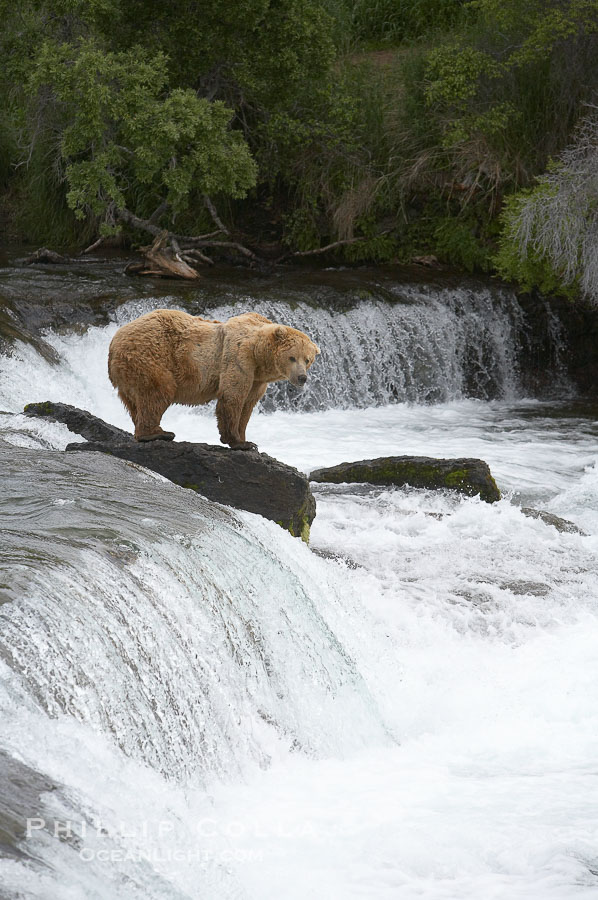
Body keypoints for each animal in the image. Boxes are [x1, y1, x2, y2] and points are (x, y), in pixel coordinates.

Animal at [108, 309, 320, 450]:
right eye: (292, 357)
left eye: (307, 359)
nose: (302, 377)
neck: (259, 356)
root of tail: (114, 341)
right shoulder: (239, 359)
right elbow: (232, 397)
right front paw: (239, 442)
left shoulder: (257, 379)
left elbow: (247, 405)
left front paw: (246, 438)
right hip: (151, 355)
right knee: (158, 392)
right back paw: (159, 433)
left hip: (129, 373)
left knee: (135, 402)